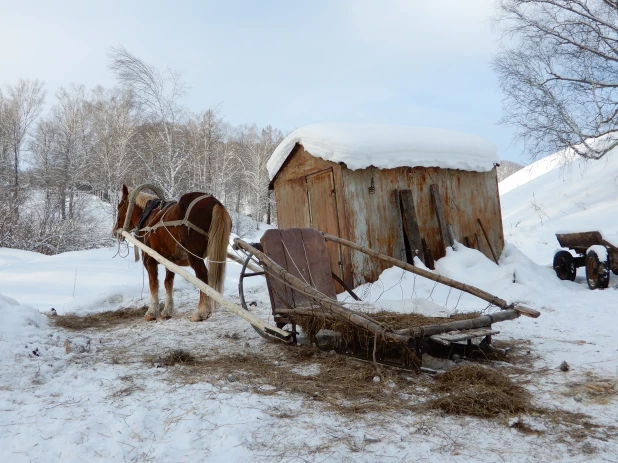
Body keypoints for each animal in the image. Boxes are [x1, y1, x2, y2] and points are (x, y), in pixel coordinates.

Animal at [113, 185, 231, 322]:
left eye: (119, 206)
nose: (115, 231)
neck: (148, 215)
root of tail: (215, 202)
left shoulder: (149, 259)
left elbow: (153, 283)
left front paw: (152, 311)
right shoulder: (170, 260)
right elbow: (168, 283)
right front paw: (167, 311)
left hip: (193, 256)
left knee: (202, 276)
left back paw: (201, 312)